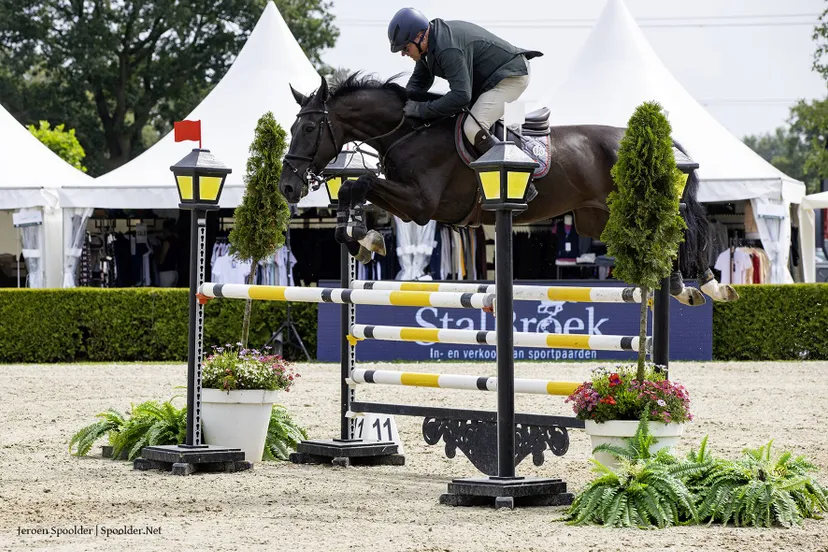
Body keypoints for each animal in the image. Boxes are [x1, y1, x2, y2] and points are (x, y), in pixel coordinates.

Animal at [280, 73, 736, 306]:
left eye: (309, 128)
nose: (287, 185)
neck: (412, 130)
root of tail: (653, 140)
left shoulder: (422, 204)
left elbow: (361, 183)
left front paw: (363, 236)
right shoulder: (410, 205)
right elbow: (354, 192)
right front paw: (361, 238)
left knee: (676, 230)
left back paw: (697, 285)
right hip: (597, 220)